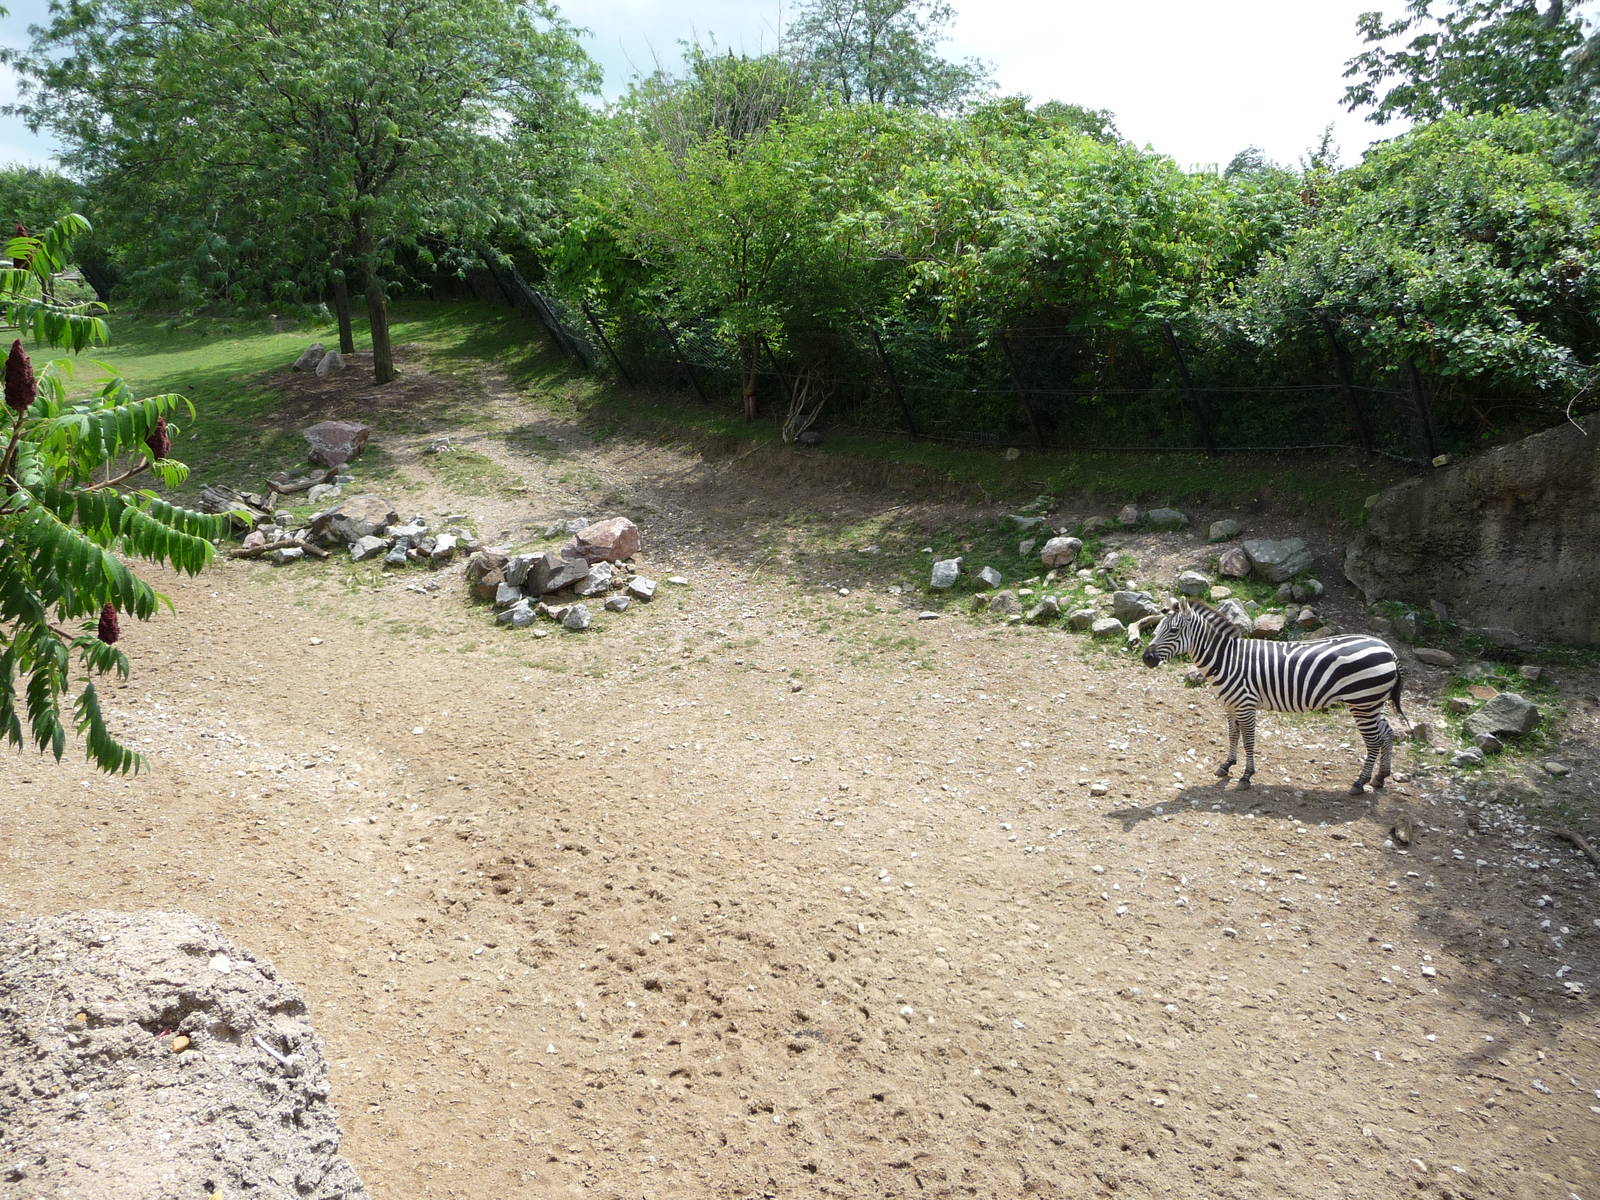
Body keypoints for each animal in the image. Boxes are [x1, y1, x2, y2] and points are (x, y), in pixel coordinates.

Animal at [1138, 599, 1406, 796]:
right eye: (1158, 628)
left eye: (1173, 630)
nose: (1146, 658)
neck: (1227, 660)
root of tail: (1389, 650)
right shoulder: (1230, 704)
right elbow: (1232, 735)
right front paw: (1227, 765)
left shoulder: (1245, 704)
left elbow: (1248, 740)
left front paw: (1246, 775)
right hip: (1372, 702)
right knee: (1387, 732)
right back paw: (1381, 777)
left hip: (1362, 701)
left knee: (1373, 741)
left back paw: (1360, 783)